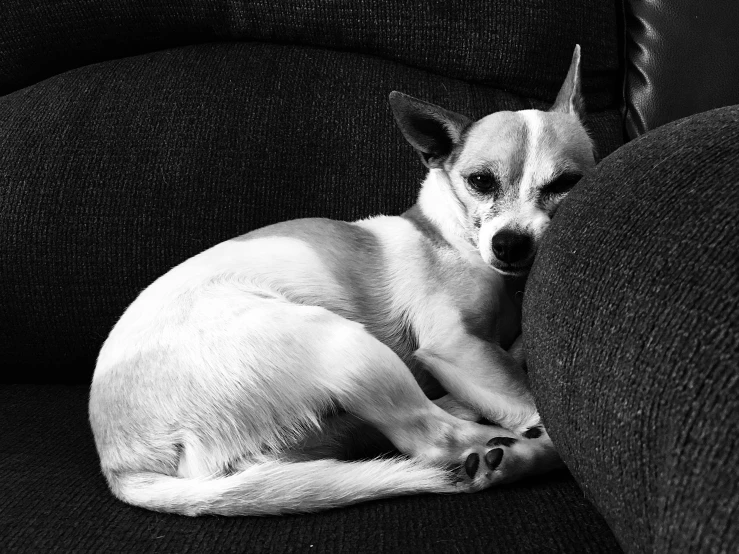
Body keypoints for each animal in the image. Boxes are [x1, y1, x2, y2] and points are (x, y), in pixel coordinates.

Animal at [88, 45, 596, 516]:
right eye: (480, 181)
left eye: (566, 183)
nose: (510, 244)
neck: (453, 237)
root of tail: (124, 467)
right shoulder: (457, 346)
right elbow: (529, 402)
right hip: (344, 344)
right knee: (437, 439)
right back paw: (504, 454)